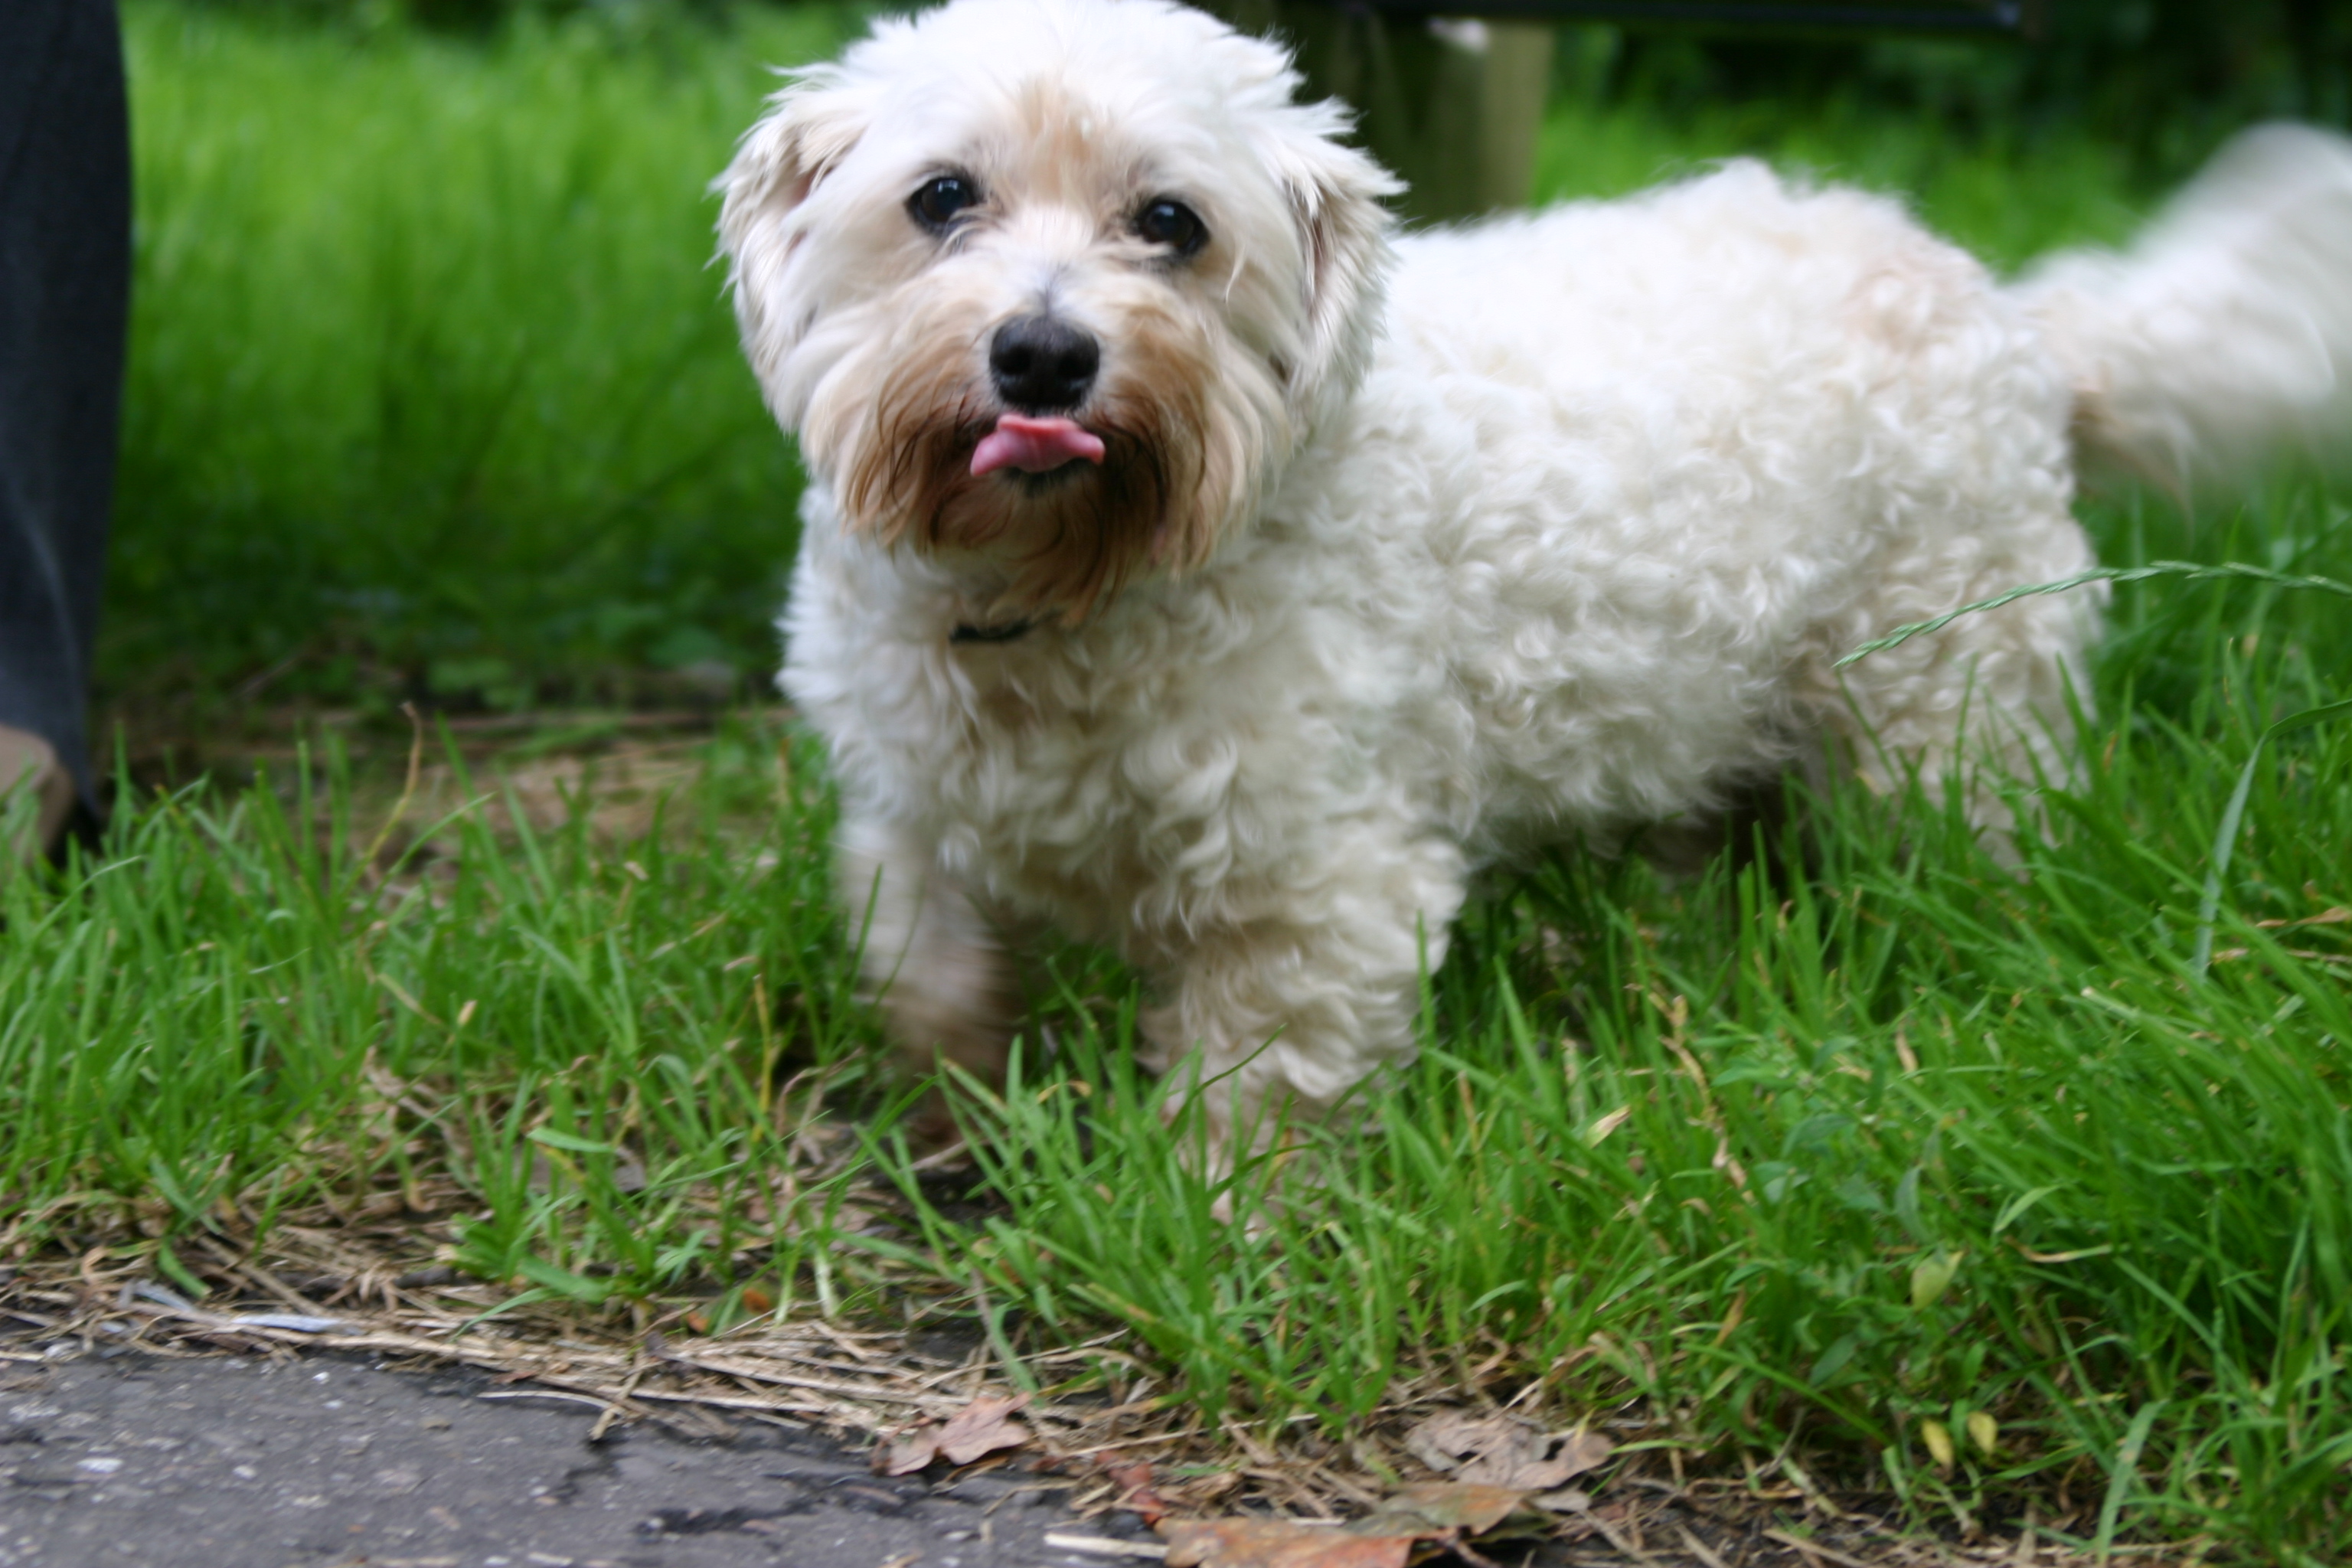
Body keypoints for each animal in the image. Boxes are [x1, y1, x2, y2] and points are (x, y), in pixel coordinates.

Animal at [717, 0, 2352, 1166]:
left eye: (1169, 222)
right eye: (940, 198)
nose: (1045, 354)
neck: (1057, 595)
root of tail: (2018, 318)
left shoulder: (1322, 886)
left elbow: (1254, 1091)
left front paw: (1206, 1235)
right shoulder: (911, 812)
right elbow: (923, 978)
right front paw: (948, 1118)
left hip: (1946, 714)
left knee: (1975, 846)